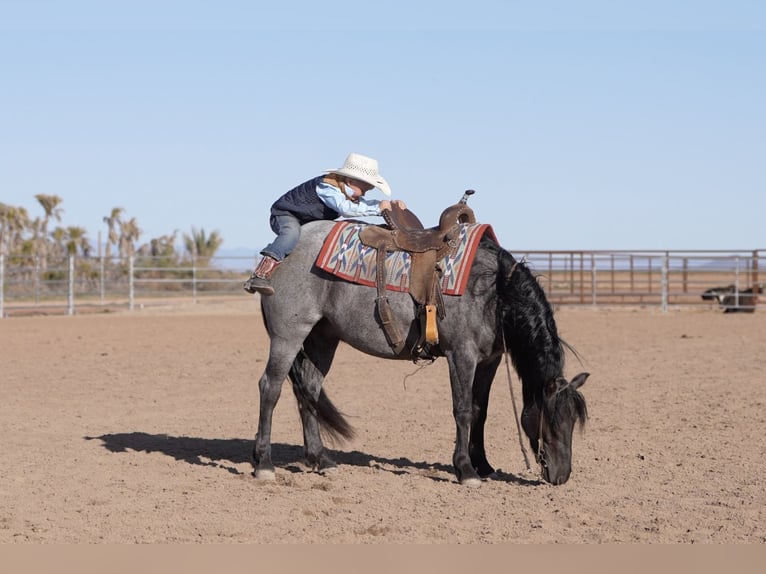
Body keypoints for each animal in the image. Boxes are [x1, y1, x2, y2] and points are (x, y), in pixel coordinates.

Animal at [252, 220, 589, 486]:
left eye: (573, 421)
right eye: (552, 419)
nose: (562, 476)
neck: (494, 291)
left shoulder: (489, 361)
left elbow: (480, 410)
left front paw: (483, 465)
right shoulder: (461, 355)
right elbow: (463, 410)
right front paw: (466, 470)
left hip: (323, 337)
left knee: (308, 390)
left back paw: (321, 460)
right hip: (288, 336)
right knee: (271, 388)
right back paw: (264, 464)